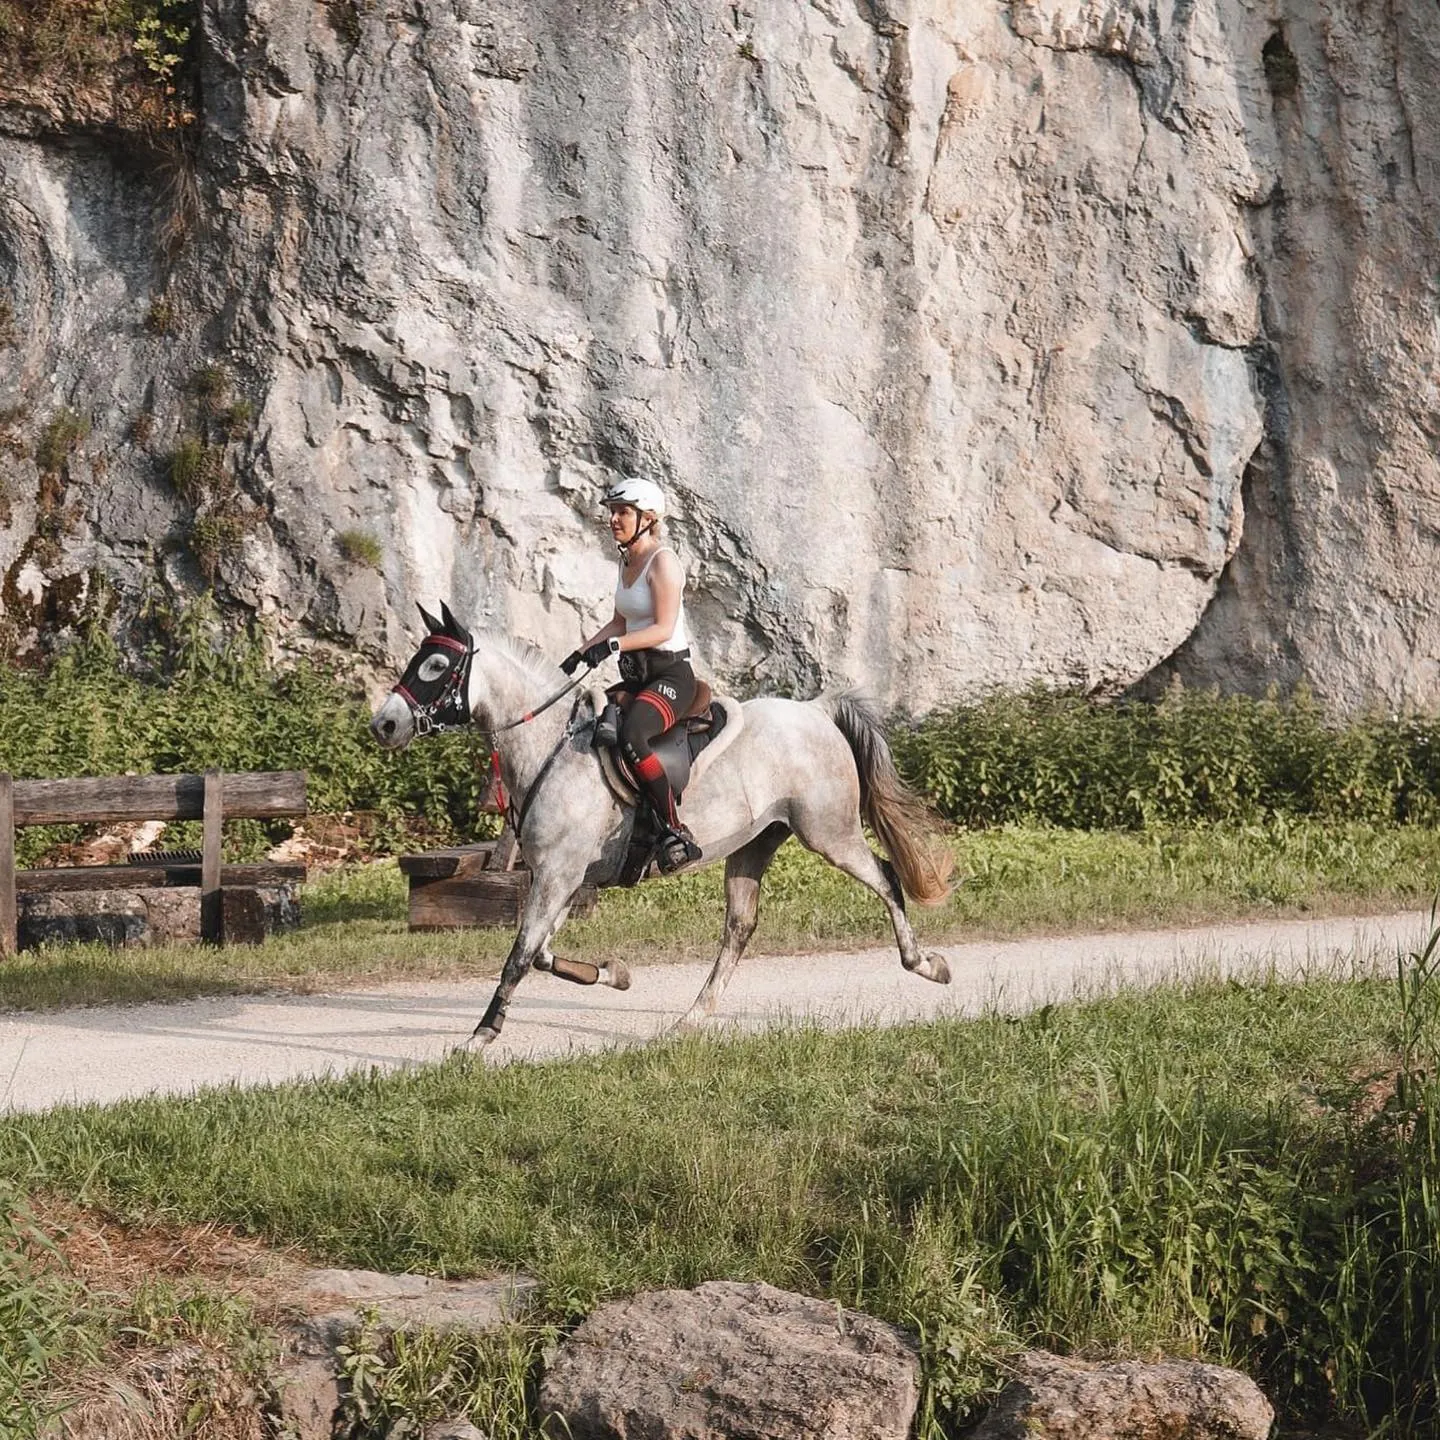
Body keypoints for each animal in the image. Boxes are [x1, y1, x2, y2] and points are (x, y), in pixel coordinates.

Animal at [371, 604, 956, 1048]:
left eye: (436, 665)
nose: (385, 724)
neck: (548, 746)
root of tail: (815, 710)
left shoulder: (558, 876)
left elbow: (519, 956)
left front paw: (480, 1036)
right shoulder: (562, 878)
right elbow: (540, 954)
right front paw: (613, 973)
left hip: (830, 832)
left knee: (886, 879)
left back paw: (927, 965)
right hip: (754, 843)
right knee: (739, 927)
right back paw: (691, 1019)